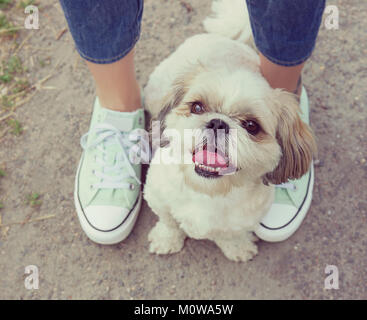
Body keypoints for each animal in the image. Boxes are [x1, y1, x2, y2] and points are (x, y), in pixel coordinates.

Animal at [143, 0, 316, 262]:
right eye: (197, 107)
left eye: (252, 126)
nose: (217, 123)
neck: (207, 192)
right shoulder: (157, 197)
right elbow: (169, 221)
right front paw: (167, 239)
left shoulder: (244, 219)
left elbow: (230, 234)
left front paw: (237, 247)